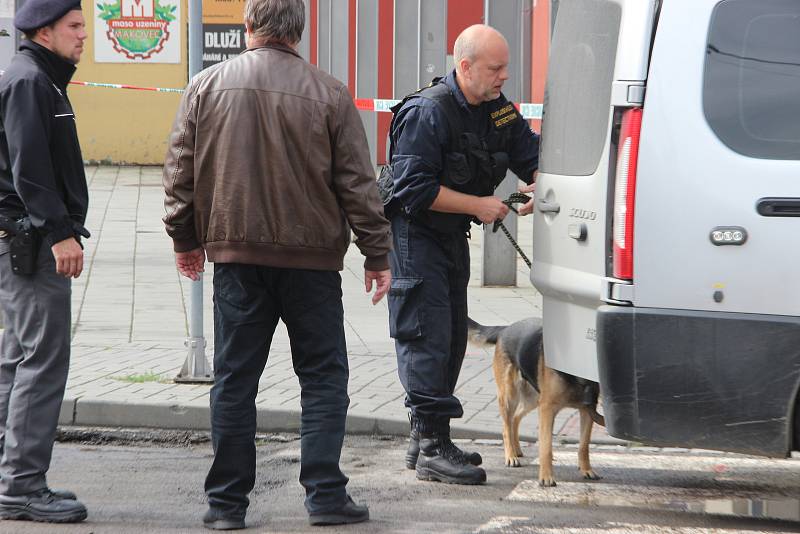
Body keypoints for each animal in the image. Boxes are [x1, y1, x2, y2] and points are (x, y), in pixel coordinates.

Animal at [466, 320, 604, 488]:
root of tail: (505, 328)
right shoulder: (547, 408)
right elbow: (546, 448)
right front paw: (546, 477)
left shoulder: (587, 411)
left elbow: (584, 445)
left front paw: (587, 470)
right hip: (510, 395)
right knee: (506, 426)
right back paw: (511, 456)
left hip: (532, 399)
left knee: (515, 419)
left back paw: (516, 449)